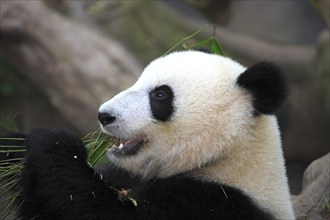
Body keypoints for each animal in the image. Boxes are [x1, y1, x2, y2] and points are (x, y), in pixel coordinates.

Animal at [18, 50, 294, 219]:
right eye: (137, 81)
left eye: (160, 95)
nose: (104, 115)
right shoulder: (124, 174)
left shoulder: (213, 204)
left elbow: (102, 211)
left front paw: (53, 141)